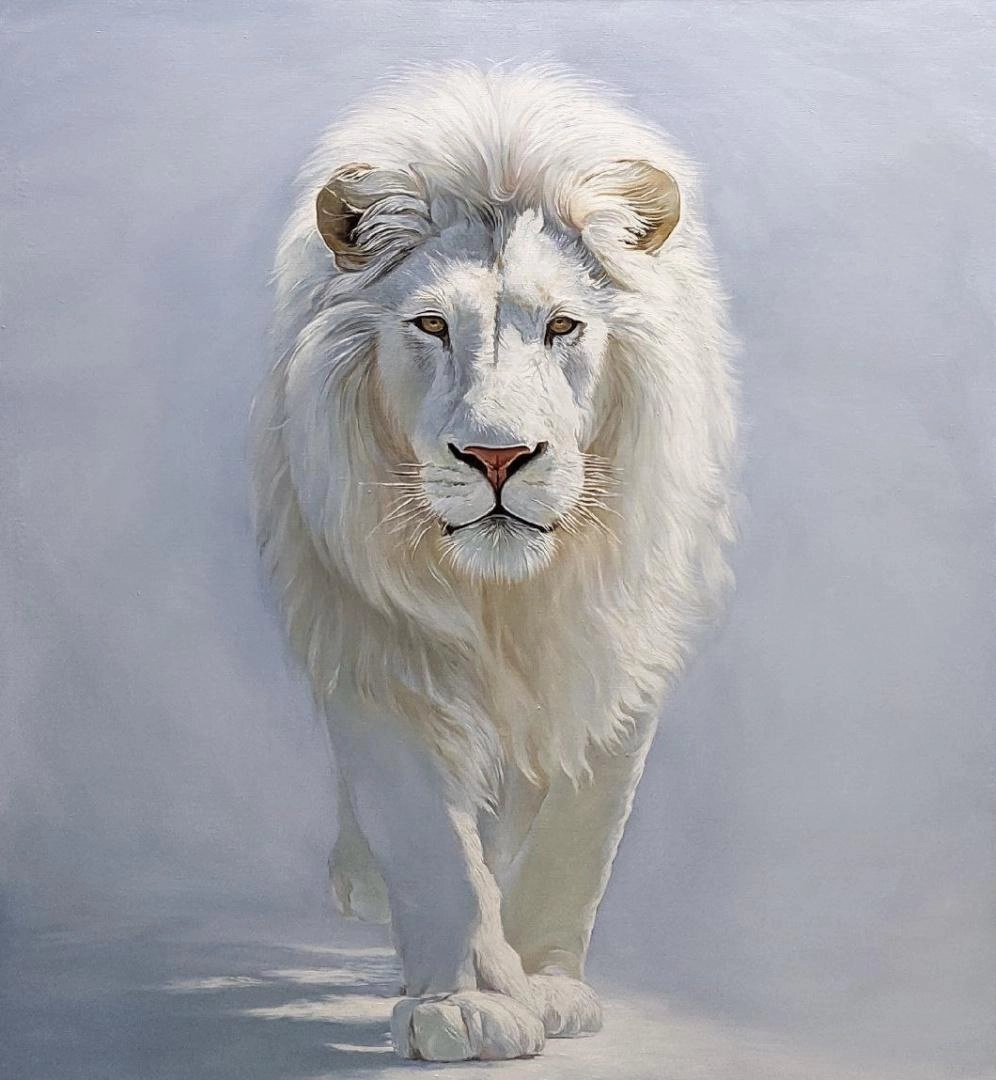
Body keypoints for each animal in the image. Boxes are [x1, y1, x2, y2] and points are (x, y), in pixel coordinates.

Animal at [249, 64, 737, 1062]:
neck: (508, 598)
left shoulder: (619, 651)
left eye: (563, 326)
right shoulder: (374, 643)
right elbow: (429, 838)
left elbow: (577, 838)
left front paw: (547, 984)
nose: (499, 456)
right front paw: (468, 1004)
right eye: (433, 324)